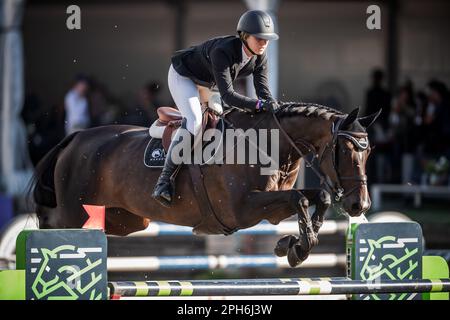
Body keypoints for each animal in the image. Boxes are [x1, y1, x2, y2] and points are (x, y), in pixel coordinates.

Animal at [30, 102, 380, 264]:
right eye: (346, 150)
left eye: (369, 151)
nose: (359, 205)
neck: (270, 144)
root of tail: (75, 138)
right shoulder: (243, 210)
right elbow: (301, 199)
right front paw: (296, 249)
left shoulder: (272, 208)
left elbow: (316, 197)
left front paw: (292, 245)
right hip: (75, 213)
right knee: (53, 225)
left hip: (125, 219)